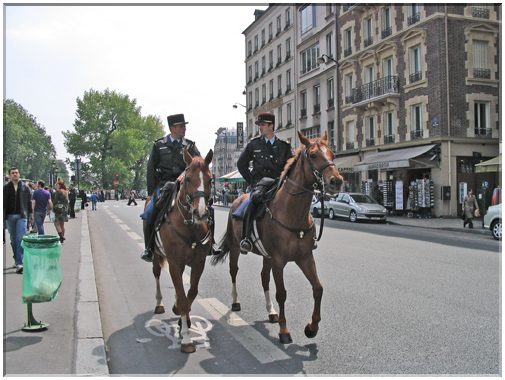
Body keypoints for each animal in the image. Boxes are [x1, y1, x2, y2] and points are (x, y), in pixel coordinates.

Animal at [144, 148, 213, 354]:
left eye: (210, 180)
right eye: (188, 179)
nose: (201, 213)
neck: (189, 225)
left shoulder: (198, 263)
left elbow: (190, 293)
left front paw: (184, 319)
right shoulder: (175, 263)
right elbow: (183, 298)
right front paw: (187, 339)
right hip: (157, 256)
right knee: (157, 274)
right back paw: (159, 303)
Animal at [211, 133, 340, 344]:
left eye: (333, 154)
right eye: (313, 155)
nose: (337, 181)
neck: (293, 212)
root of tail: (236, 200)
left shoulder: (305, 258)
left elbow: (318, 288)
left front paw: (312, 327)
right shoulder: (279, 261)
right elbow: (281, 294)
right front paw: (284, 330)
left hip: (267, 256)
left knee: (264, 278)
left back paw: (271, 312)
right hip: (236, 247)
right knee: (234, 271)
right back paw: (236, 301)